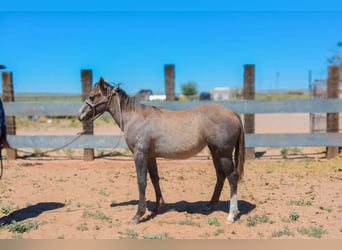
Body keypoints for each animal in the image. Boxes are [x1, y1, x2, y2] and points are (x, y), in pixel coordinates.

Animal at [78, 77, 243, 224]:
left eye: (92, 96)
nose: (80, 115)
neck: (136, 118)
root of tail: (234, 114)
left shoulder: (140, 155)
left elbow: (142, 182)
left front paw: (138, 215)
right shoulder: (150, 156)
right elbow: (154, 179)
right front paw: (158, 206)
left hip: (224, 155)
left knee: (232, 177)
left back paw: (231, 214)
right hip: (216, 153)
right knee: (220, 175)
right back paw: (210, 205)